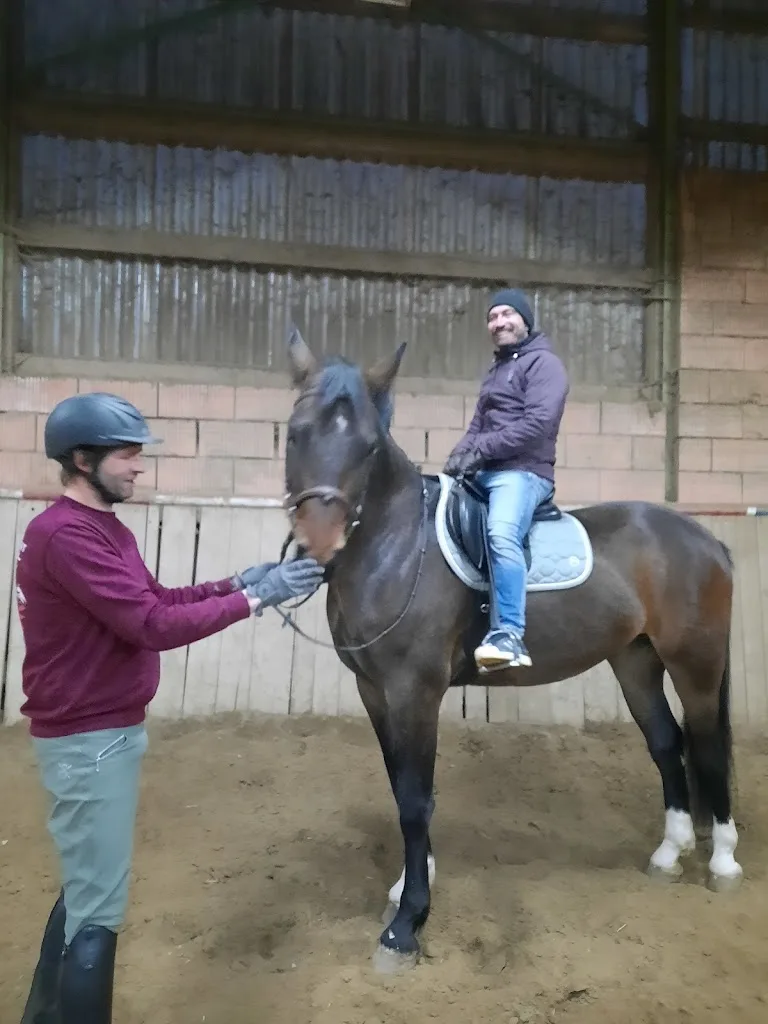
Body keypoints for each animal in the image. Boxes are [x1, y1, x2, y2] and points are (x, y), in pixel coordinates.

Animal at [281, 326, 741, 974]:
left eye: (369, 447)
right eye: (296, 433)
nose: (318, 542)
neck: (397, 547)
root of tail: (705, 539)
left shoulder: (414, 692)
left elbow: (416, 799)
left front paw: (406, 924)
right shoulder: (374, 691)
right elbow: (400, 785)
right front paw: (407, 885)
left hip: (695, 664)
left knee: (707, 746)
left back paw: (723, 860)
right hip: (635, 661)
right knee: (666, 742)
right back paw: (669, 854)